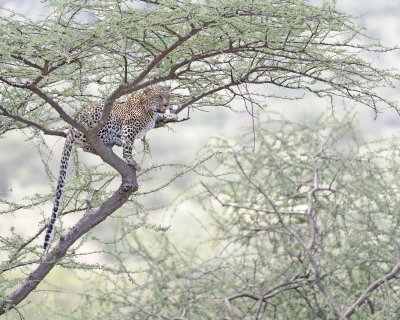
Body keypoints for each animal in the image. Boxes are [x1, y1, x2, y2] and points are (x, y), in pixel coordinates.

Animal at [43, 84, 177, 251]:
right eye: (159, 96)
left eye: (168, 96)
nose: (166, 105)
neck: (149, 109)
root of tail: (71, 127)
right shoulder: (129, 128)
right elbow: (128, 147)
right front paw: (131, 161)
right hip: (101, 118)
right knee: (89, 144)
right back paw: (113, 139)